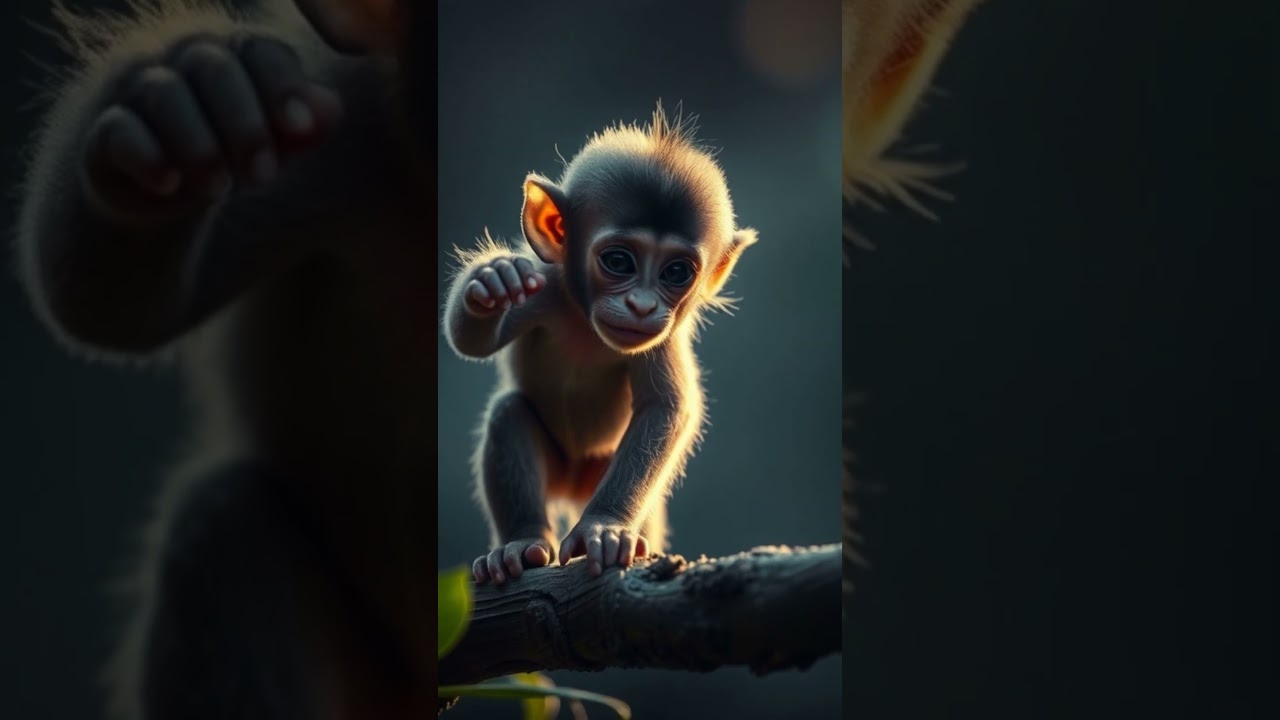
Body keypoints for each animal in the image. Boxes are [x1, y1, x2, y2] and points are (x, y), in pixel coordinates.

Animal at [442, 105, 757, 587]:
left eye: (676, 272)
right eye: (618, 261)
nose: (641, 305)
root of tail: (571, 484)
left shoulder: (663, 337)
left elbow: (665, 407)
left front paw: (604, 527)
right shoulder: (546, 288)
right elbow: (469, 341)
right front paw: (493, 278)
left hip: (599, 466)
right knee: (509, 411)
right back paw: (522, 543)